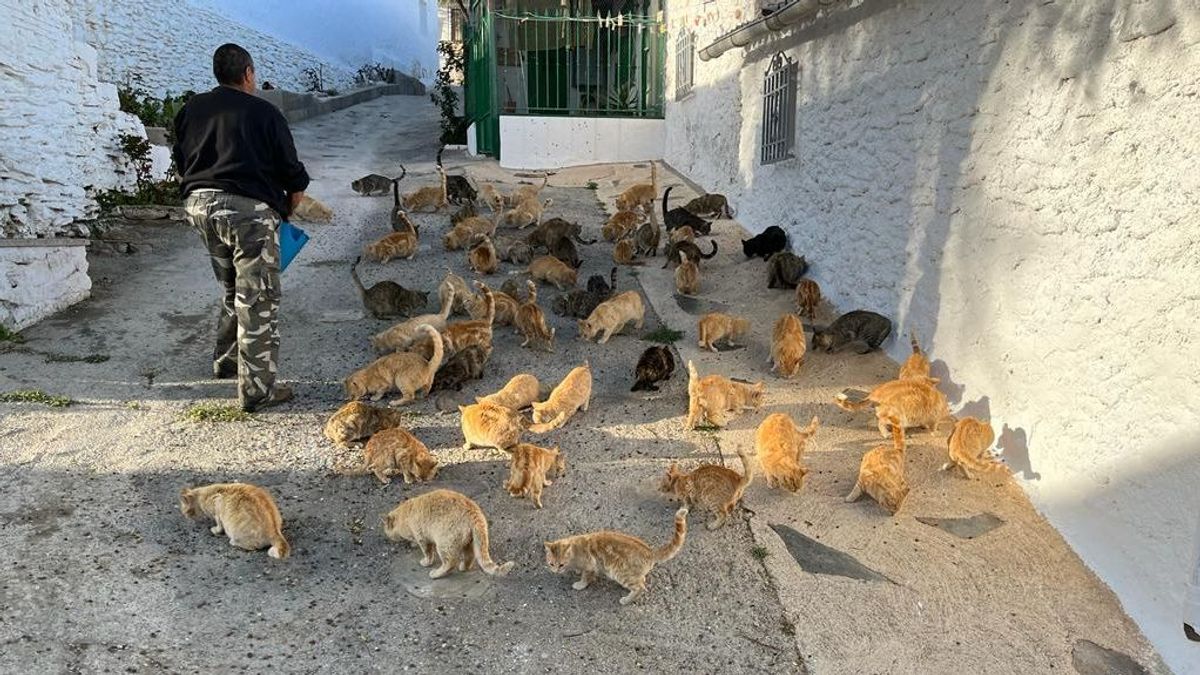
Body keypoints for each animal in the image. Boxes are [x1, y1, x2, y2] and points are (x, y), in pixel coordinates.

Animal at [381, 485, 513, 576]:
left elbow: (428, 553)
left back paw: (437, 573)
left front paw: (425, 561)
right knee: (470, 555)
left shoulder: (422, 538)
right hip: (468, 541)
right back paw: (464, 567)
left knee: (450, 562)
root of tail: (474, 512)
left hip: (444, 542)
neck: (406, 513)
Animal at [547, 504, 691, 605]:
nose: (555, 571)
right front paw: (576, 571)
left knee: (640, 587)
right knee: (642, 580)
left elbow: (586, 578)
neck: (575, 549)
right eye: (551, 564)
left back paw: (626, 600)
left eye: (561, 565)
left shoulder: (590, 566)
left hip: (620, 573)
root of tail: (650, 552)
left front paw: (580, 584)